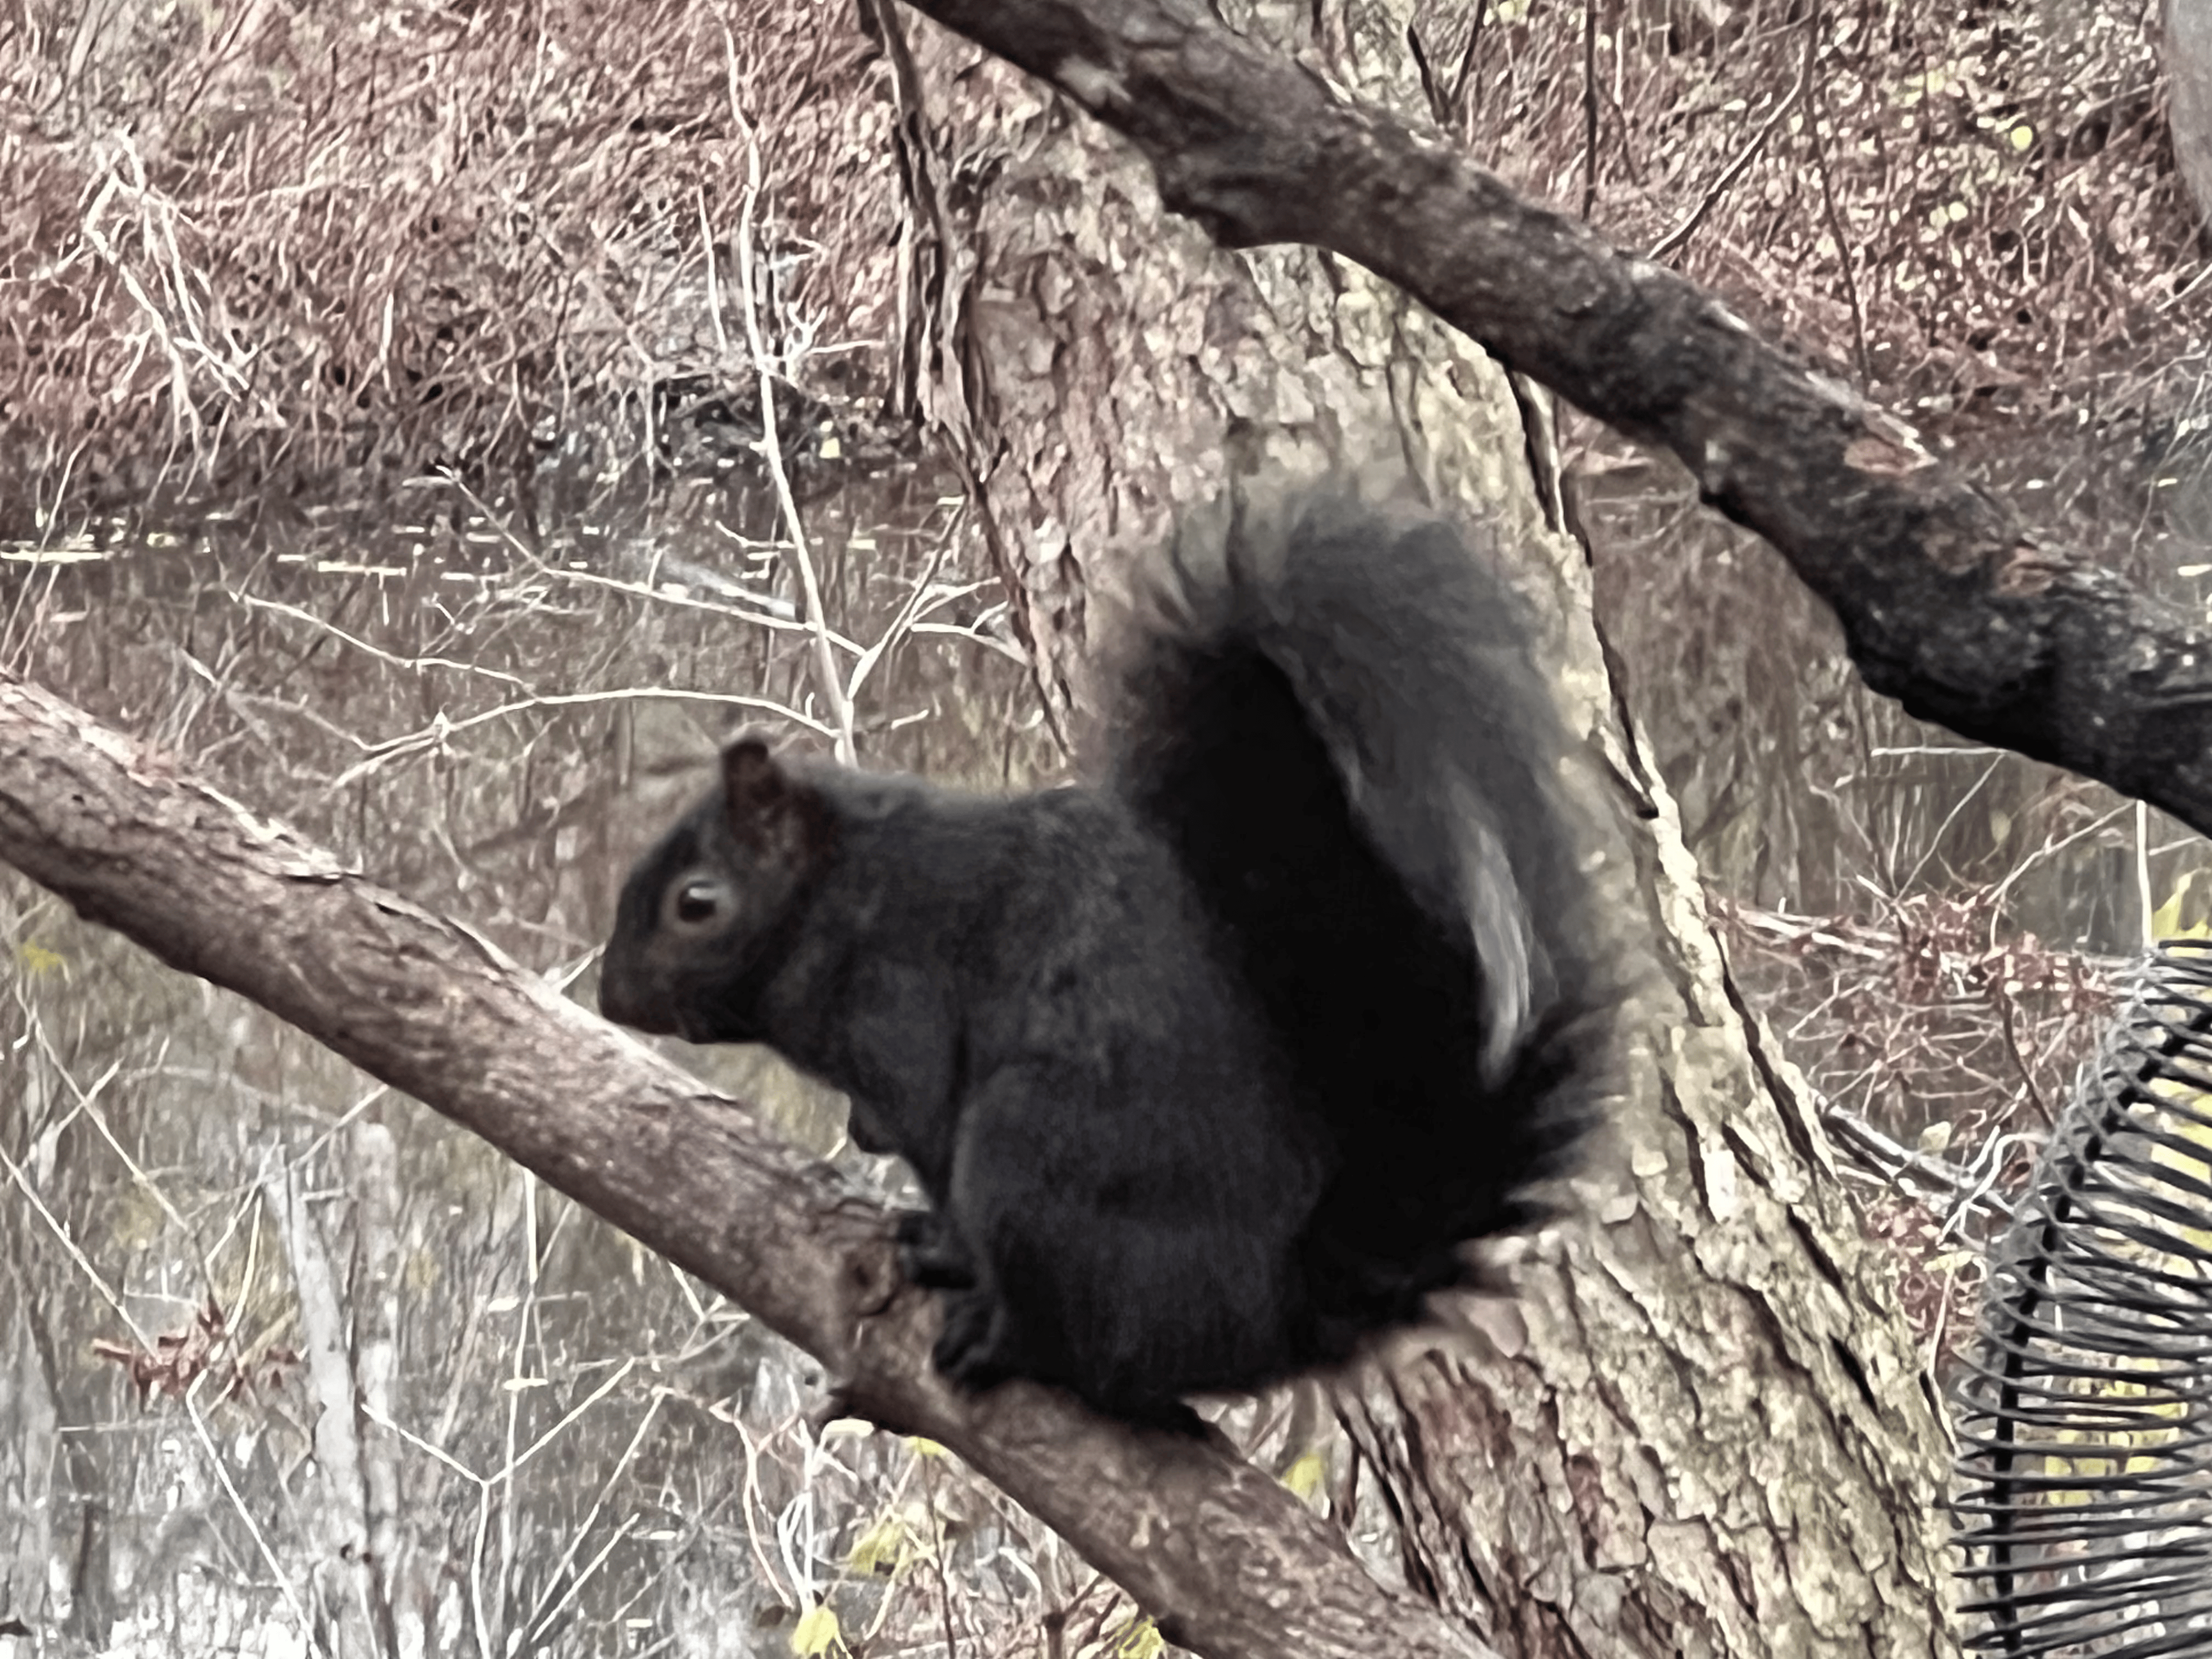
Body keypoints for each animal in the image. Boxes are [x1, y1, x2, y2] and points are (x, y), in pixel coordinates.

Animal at [597, 494, 1608, 1426]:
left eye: (697, 903)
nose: (610, 997)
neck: (845, 890)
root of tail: (1273, 1318)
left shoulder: (903, 1010)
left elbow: (928, 1130)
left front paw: (937, 1238)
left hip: (1028, 1155)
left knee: (1087, 1344)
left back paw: (999, 1336)